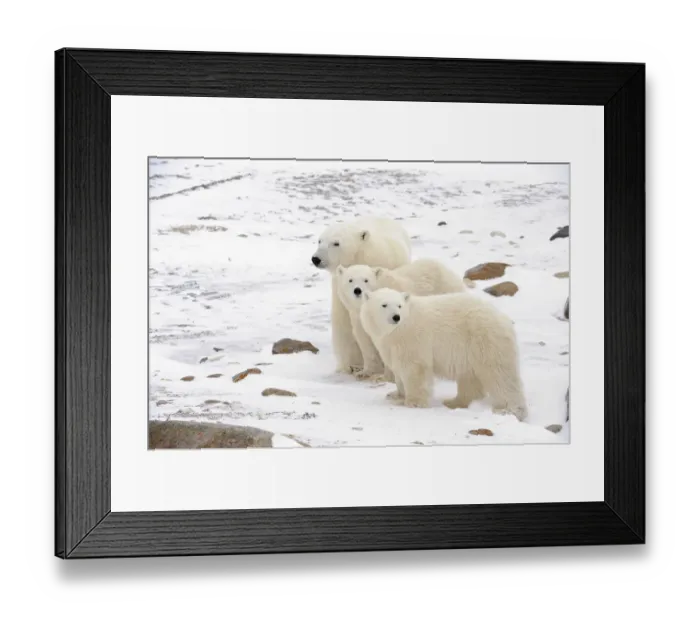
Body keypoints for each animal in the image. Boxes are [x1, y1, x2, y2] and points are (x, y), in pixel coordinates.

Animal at [311, 216, 411, 374]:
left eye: (336, 243)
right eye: (320, 241)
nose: (316, 259)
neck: (361, 258)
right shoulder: (341, 287)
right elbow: (345, 321)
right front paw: (352, 364)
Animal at [335, 259, 466, 379]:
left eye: (366, 280)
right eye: (350, 280)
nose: (357, 290)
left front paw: (387, 376)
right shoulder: (358, 316)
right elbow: (365, 341)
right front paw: (364, 372)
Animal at [359, 288, 528, 420]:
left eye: (399, 305)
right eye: (384, 304)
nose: (396, 317)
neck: (397, 329)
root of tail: (504, 318)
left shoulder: (413, 339)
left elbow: (414, 369)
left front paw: (414, 402)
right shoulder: (389, 344)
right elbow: (398, 369)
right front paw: (395, 394)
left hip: (485, 339)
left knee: (500, 375)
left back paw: (508, 409)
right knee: (470, 378)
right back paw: (454, 402)